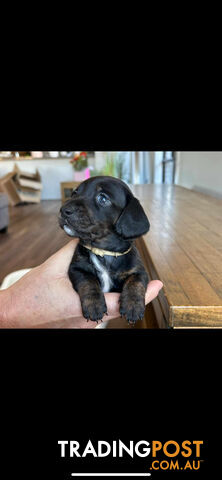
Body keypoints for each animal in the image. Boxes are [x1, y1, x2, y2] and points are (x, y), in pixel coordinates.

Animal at [59, 174, 150, 324]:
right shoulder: (76, 268)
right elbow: (88, 281)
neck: (103, 251)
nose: (63, 210)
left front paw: (133, 306)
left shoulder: (140, 271)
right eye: (74, 193)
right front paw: (94, 305)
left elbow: (135, 282)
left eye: (103, 198)